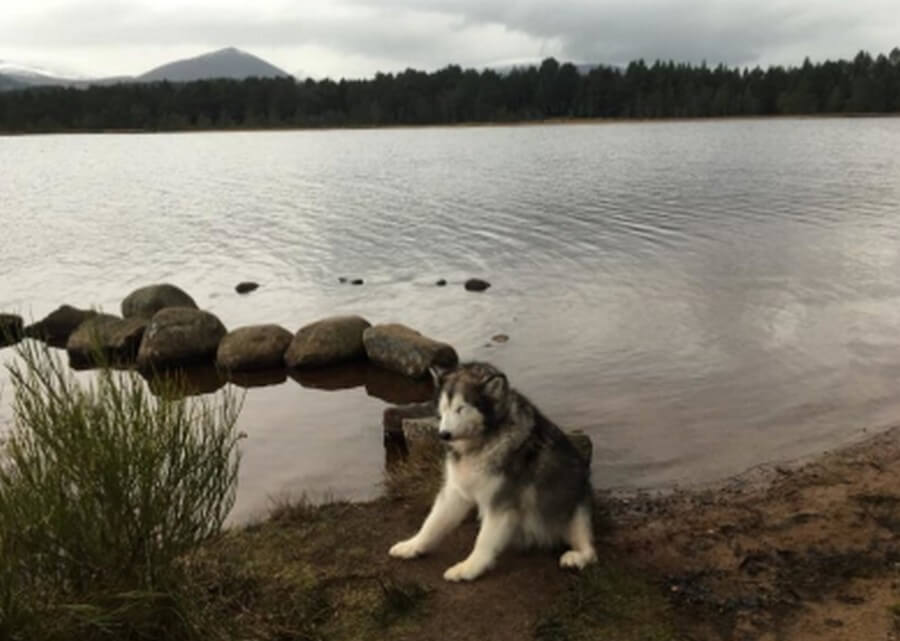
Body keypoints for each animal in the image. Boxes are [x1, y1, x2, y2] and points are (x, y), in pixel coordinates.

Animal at [388, 360, 596, 580]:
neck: (480, 444)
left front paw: (467, 568)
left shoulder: (501, 503)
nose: (443, 434)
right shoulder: (456, 491)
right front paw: (412, 546)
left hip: (575, 508)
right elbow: (433, 523)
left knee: (591, 552)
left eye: (461, 408)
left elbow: (483, 541)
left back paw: (576, 557)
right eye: (443, 408)